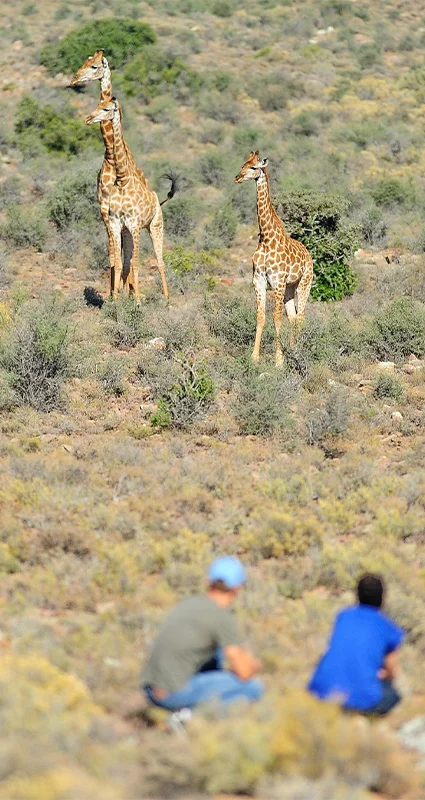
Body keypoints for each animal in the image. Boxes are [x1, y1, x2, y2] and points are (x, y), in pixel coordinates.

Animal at [85, 97, 172, 302]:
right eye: (98, 105)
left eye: (106, 109)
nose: (88, 119)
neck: (122, 180)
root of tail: (156, 199)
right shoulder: (117, 224)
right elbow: (118, 263)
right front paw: (115, 300)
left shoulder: (135, 224)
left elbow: (137, 263)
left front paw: (138, 301)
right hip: (129, 233)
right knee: (127, 263)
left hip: (155, 226)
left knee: (160, 261)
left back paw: (166, 298)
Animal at [235, 151, 313, 367]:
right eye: (243, 164)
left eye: (254, 167)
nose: (237, 177)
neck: (266, 237)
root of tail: (308, 254)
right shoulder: (259, 279)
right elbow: (261, 316)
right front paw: (255, 357)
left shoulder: (277, 280)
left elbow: (277, 318)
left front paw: (279, 360)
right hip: (290, 288)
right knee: (293, 316)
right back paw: (292, 348)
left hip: (304, 284)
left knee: (301, 316)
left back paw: (298, 351)